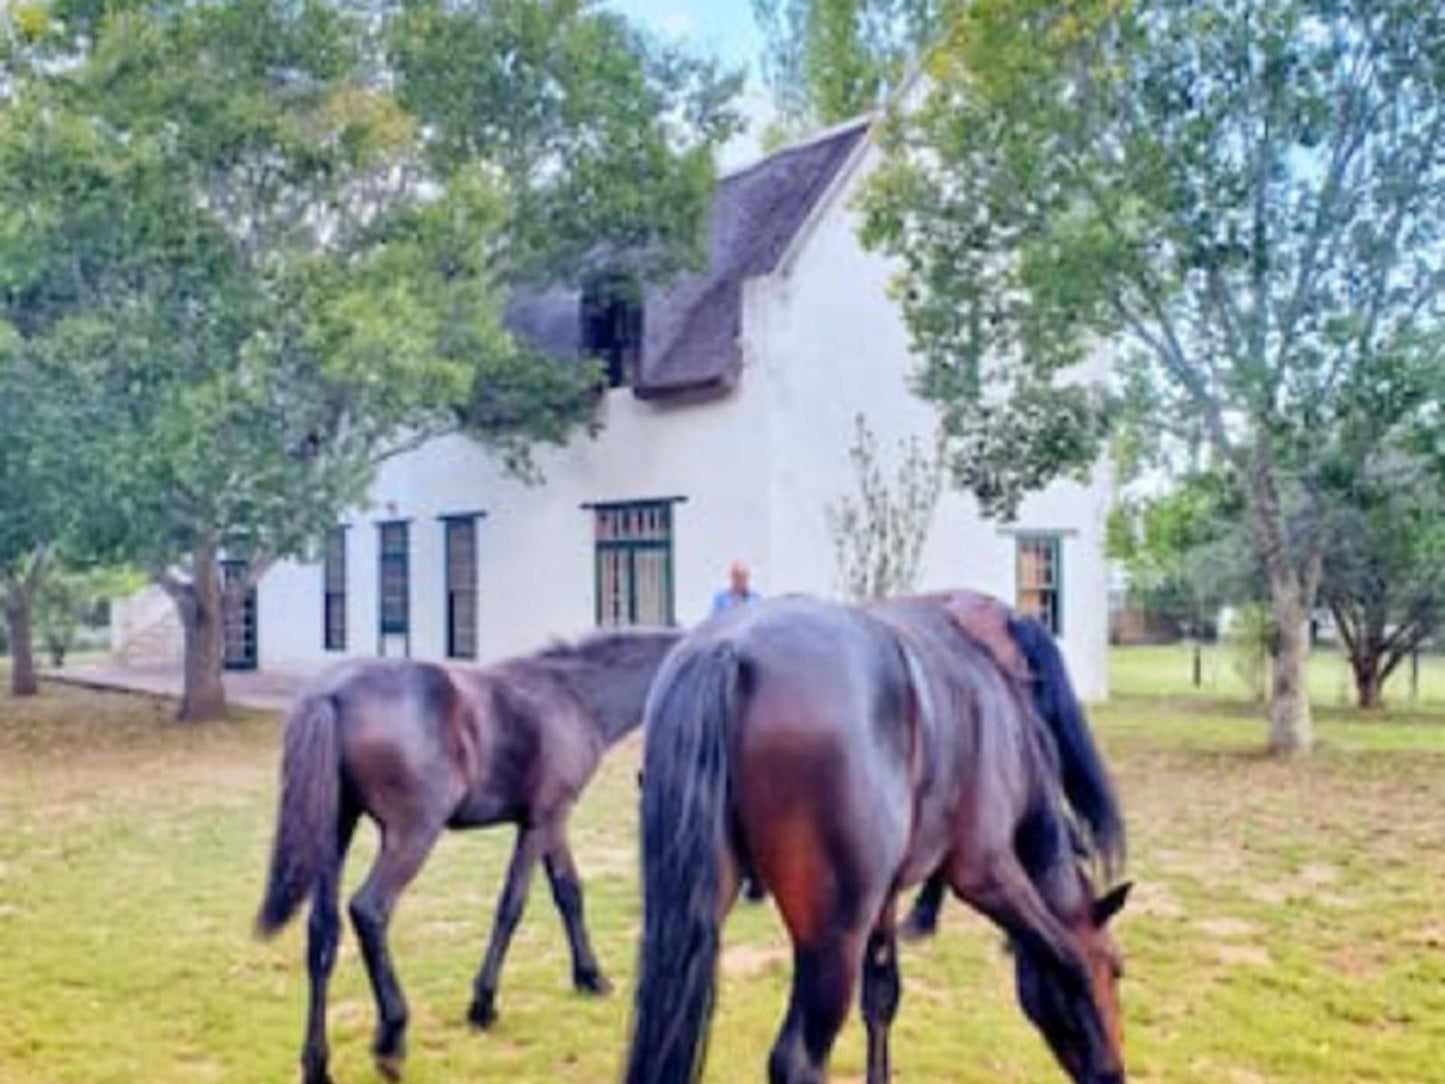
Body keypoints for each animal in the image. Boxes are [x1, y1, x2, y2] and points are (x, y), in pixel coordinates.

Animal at [255, 627, 682, 1084]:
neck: (572, 694)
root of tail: (332, 692)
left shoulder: (553, 821)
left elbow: (569, 894)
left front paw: (590, 977)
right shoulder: (542, 821)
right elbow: (512, 905)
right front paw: (483, 1005)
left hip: (336, 829)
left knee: (323, 931)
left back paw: (317, 1064)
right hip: (412, 834)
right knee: (369, 910)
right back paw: (391, 1038)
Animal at [621, 595, 1127, 1084]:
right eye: (1117, 967)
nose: (1113, 1072)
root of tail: (730, 648)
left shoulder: (884, 897)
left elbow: (882, 999)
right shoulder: (987, 874)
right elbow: (1067, 955)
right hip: (834, 937)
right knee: (798, 1059)